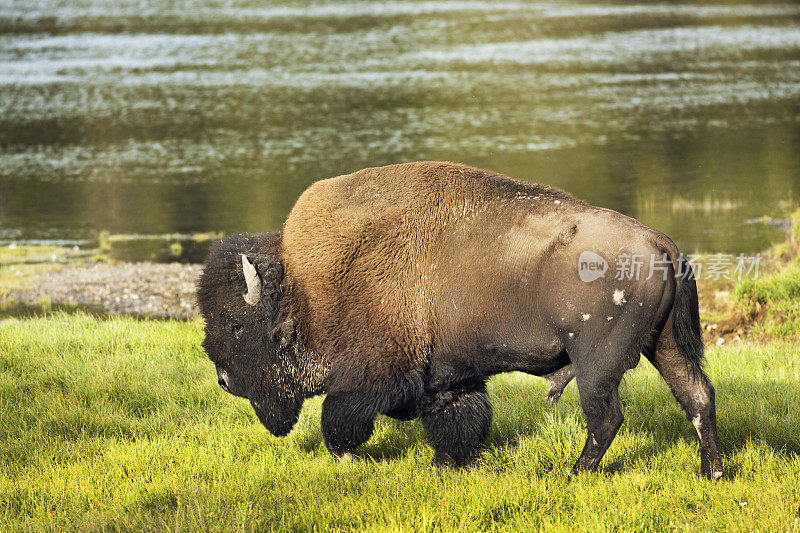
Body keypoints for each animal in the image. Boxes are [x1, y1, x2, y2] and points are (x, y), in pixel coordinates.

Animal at [197, 161, 720, 478]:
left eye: (236, 325)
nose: (223, 379)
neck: (303, 288)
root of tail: (659, 243)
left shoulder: (372, 374)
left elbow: (341, 416)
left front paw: (344, 456)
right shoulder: (447, 377)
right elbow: (457, 418)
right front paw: (447, 463)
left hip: (598, 363)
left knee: (606, 417)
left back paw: (575, 475)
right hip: (664, 346)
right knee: (698, 397)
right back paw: (713, 472)